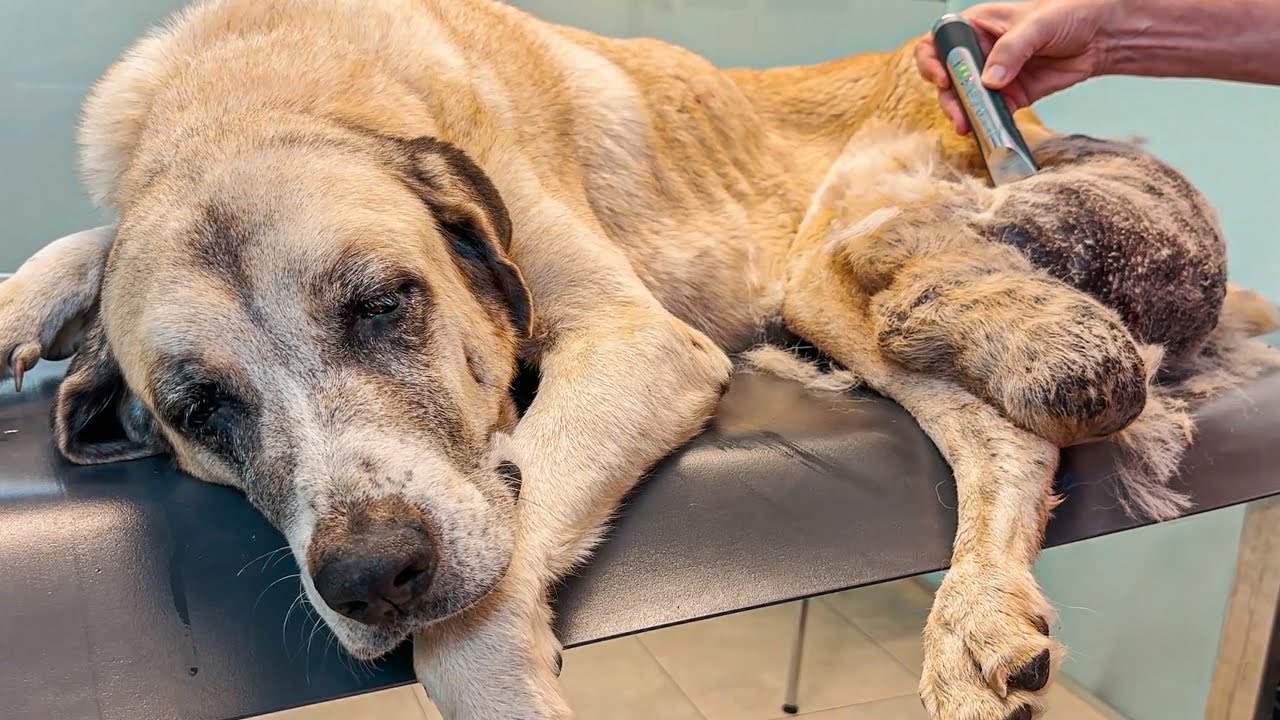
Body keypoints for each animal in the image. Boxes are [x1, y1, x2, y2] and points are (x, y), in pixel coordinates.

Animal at [1, 1, 1277, 718]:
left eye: (384, 305)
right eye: (199, 409)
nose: (373, 576)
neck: (257, 80)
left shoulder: (637, 344)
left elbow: (474, 630)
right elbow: (93, 243)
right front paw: (34, 300)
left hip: (849, 260)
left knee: (1013, 415)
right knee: (998, 432)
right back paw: (979, 616)